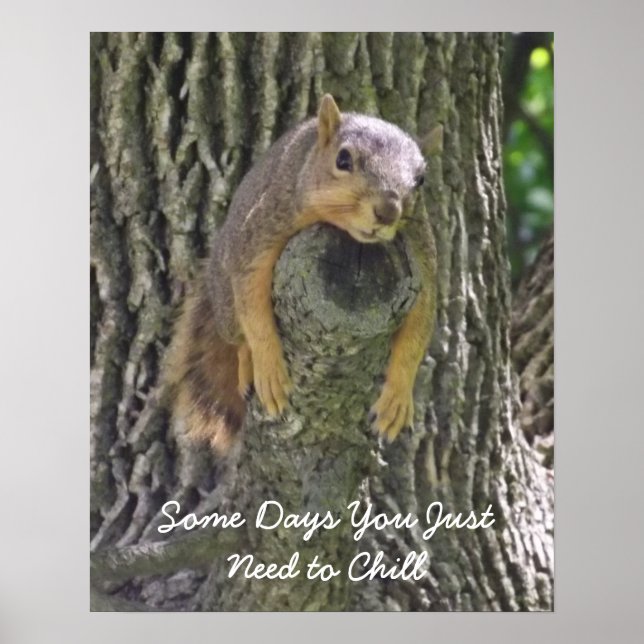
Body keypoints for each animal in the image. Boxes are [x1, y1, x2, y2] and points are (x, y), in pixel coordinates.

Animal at [165, 94, 437, 454]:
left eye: (420, 180)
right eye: (343, 159)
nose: (388, 210)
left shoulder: (421, 257)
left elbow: (419, 330)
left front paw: (398, 398)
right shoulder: (264, 228)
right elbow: (253, 304)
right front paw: (268, 367)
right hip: (225, 301)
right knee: (237, 335)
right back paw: (248, 364)